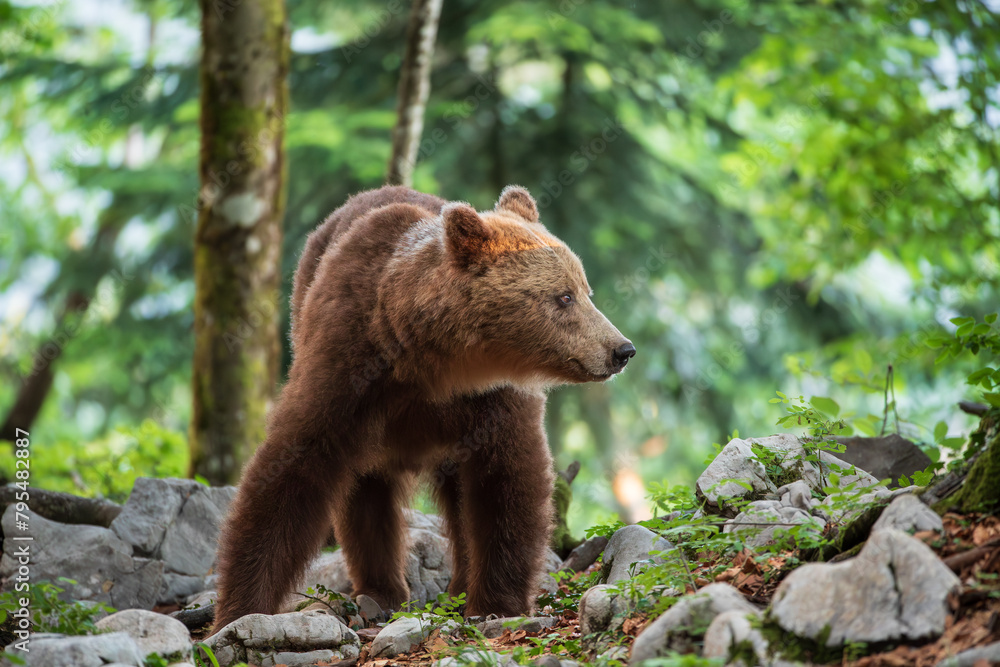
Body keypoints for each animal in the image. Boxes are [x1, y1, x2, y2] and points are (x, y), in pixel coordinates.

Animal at [212, 185, 635, 631]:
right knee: (366, 495)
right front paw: (239, 608)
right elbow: (293, 469)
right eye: (564, 296)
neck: (430, 360)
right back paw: (380, 592)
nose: (621, 350)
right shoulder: (348, 362)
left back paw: (456, 587)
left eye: (585, 291)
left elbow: (507, 482)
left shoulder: (492, 399)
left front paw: (496, 603)